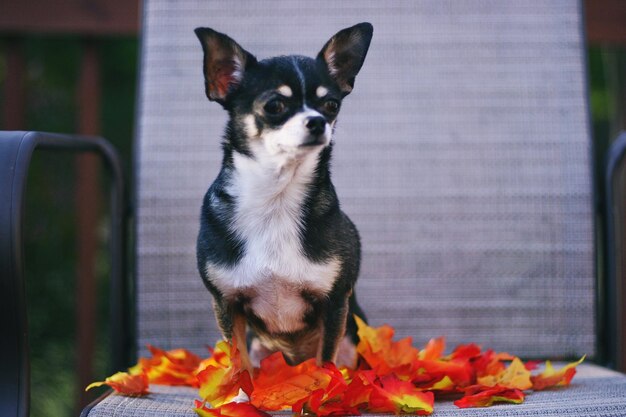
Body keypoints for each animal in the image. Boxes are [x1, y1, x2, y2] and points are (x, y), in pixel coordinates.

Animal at [195, 22, 370, 370]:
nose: (318, 122)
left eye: (331, 105)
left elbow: (324, 365)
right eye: (274, 106)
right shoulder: (226, 304)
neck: (275, 197)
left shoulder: (334, 304)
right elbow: (240, 367)